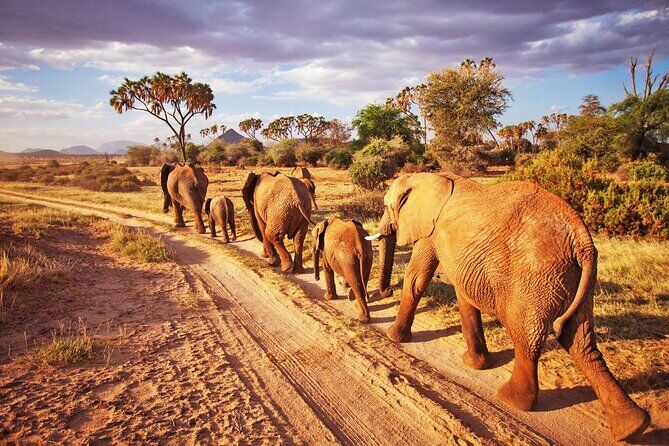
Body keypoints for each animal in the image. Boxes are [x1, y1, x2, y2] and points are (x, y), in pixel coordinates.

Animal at [368, 172, 650, 442]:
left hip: (533, 276)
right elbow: (464, 296)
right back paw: (632, 427)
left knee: (526, 337)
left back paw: (511, 399)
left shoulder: (431, 232)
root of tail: (582, 240)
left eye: (386, 206)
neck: (425, 176)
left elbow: (416, 279)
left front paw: (394, 337)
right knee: (578, 338)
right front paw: (475, 364)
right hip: (575, 277)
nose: (386, 291)